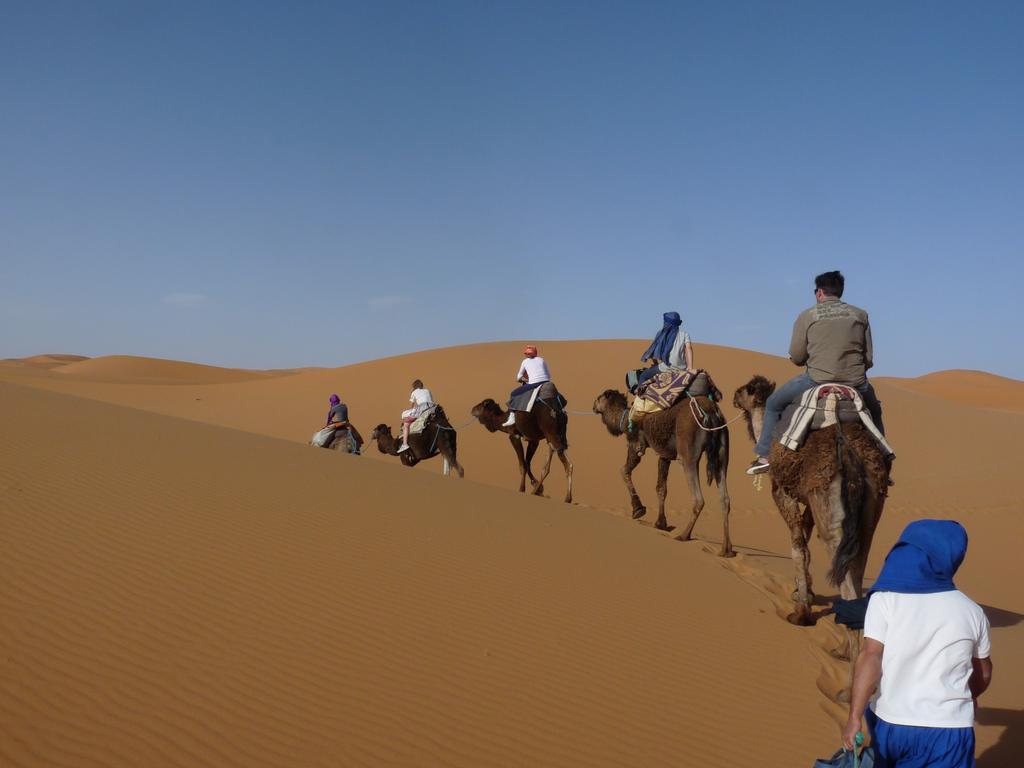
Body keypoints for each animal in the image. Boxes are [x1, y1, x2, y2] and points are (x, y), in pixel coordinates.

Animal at [589, 387, 733, 557]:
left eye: (599, 398)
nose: (593, 405)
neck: (623, 421)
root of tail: (711, 413)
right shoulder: (664, 454)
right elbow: (661, 488)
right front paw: (660, 523)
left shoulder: (636, 444)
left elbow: (623, 471)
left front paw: (638, 509)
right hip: (722, 451)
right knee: (725, 499)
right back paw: (726, 549)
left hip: (688, 453)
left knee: (698, 498)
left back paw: (684, 535)